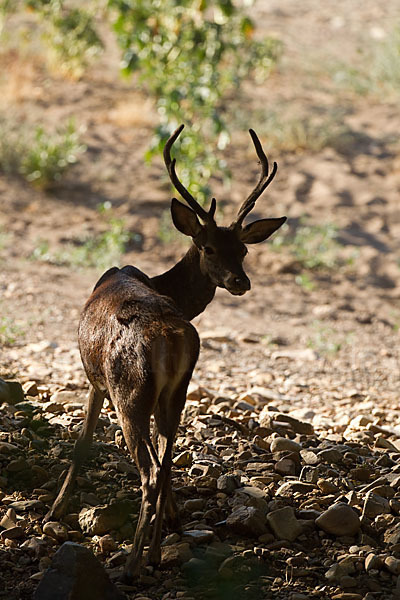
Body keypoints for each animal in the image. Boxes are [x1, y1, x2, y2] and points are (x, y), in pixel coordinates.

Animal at [43, 125, 286, 580]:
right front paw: (173, 518)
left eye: (243, 250)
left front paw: (56, 509)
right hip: (176, 390)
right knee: (168, 459)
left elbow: (83, 441)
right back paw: (155, 552)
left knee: (150, 470)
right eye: (209, 248)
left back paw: (132, 563)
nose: (241, 281)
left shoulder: (95, 381)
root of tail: (169, 335)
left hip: (129, 390)